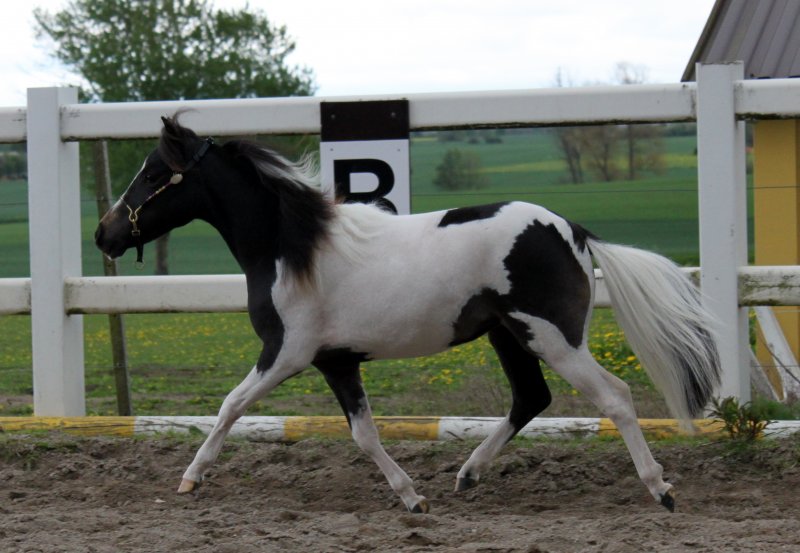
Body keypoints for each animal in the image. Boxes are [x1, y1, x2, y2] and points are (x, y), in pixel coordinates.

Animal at [95, 115, 720, 514]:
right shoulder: (337, 362)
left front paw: (190, 479)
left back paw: (661, 490)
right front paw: (414, 497)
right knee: (530, 399)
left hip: (553, 337)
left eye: (155, 175)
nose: (104, 233)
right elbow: (364, 434)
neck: (290, 248)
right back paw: (467, 475)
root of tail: (572, 230)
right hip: (509, 336)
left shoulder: (286, 353)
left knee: (616, 397)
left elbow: (230, 406)